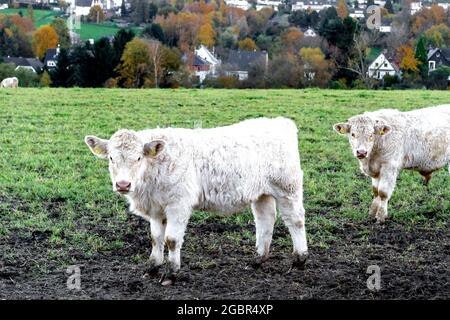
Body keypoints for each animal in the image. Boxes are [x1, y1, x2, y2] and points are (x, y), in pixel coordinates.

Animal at [85, 119, 308, 284]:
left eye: (138, 158)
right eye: (111, 158)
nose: (123, 184)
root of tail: (280, 122)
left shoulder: (178, 204)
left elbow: (171, 240)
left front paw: (171, 274)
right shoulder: (157, 208)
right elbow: (156, 238)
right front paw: (152, 268)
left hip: (288, 187)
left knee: (295, 220)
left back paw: (299, 259)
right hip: (262, 194)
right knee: (265, 221)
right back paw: (257, 260)